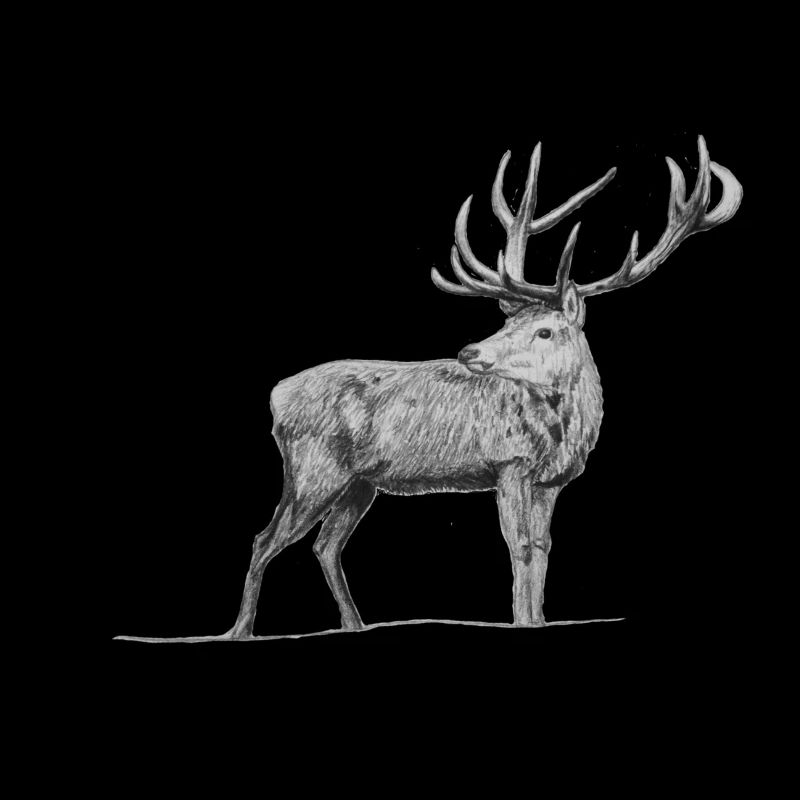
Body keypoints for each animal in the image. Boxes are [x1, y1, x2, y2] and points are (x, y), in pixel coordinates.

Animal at [118, 136, 742, 642]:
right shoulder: (508, 463)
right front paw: (522, 624)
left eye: (543, 329)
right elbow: (518, 548)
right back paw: (240, 633)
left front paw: (538, 621)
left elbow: (542, 551)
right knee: (264, 537)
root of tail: (275, 394)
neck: (563, 429)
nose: (470, 353)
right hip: (313, 467)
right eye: (506, 325)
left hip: (360, 483)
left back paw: (353, 627)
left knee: (324, 544)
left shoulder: (552, 481)